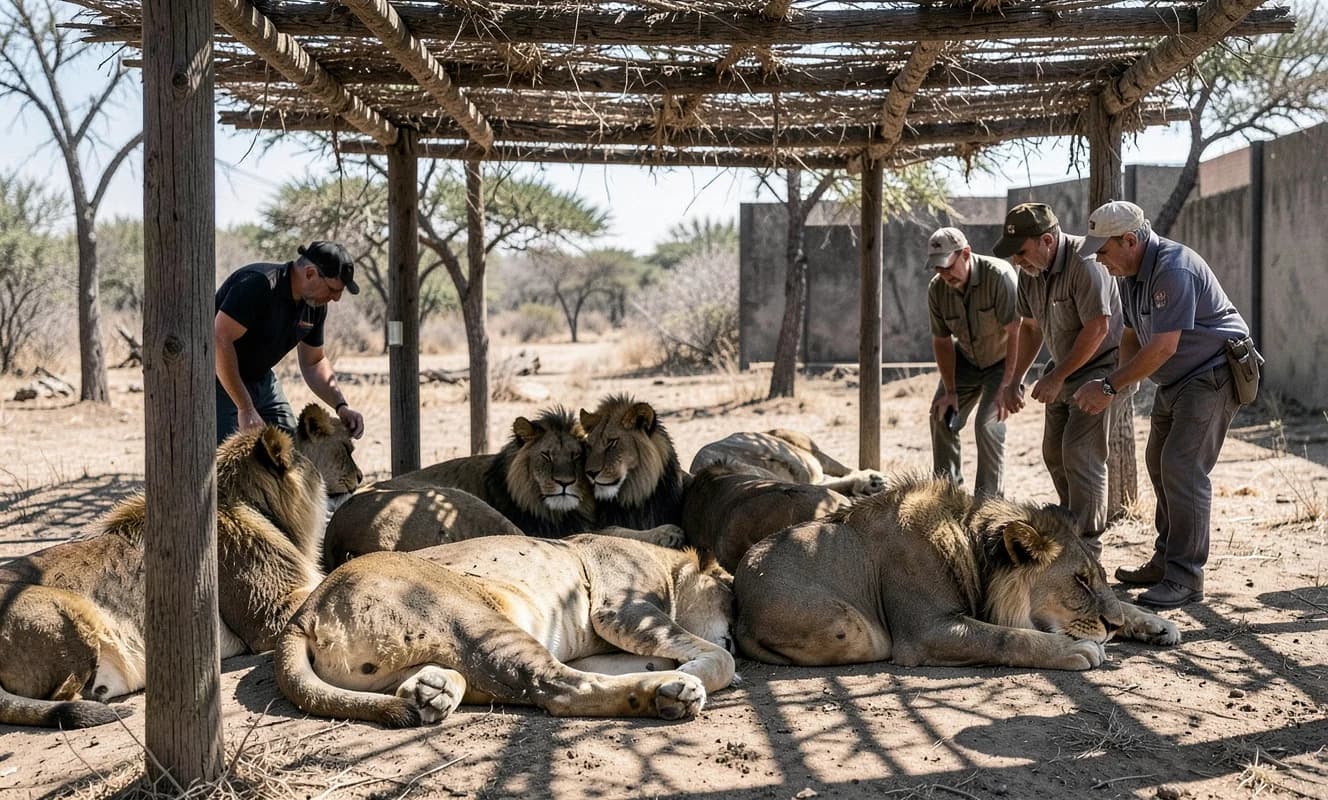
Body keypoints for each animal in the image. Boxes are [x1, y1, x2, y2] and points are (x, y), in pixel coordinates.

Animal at [275, 535, 737, 726]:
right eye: (731, 597)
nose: (739, 628)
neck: (666, 564)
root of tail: (303, 612)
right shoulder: (622, 608)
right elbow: (721, 657)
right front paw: (697, 671)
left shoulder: (601, 646)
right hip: (476, 617)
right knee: (557, 687)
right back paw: (672, 694)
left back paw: (433, 691)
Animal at [734, 474, 1180, 670]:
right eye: (1079, 581)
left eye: (1099, 576)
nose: (1113, 626)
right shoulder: (924, 631)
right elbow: (1004, 637)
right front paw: (1074, 650)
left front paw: (1155, 623)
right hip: (851, 628)